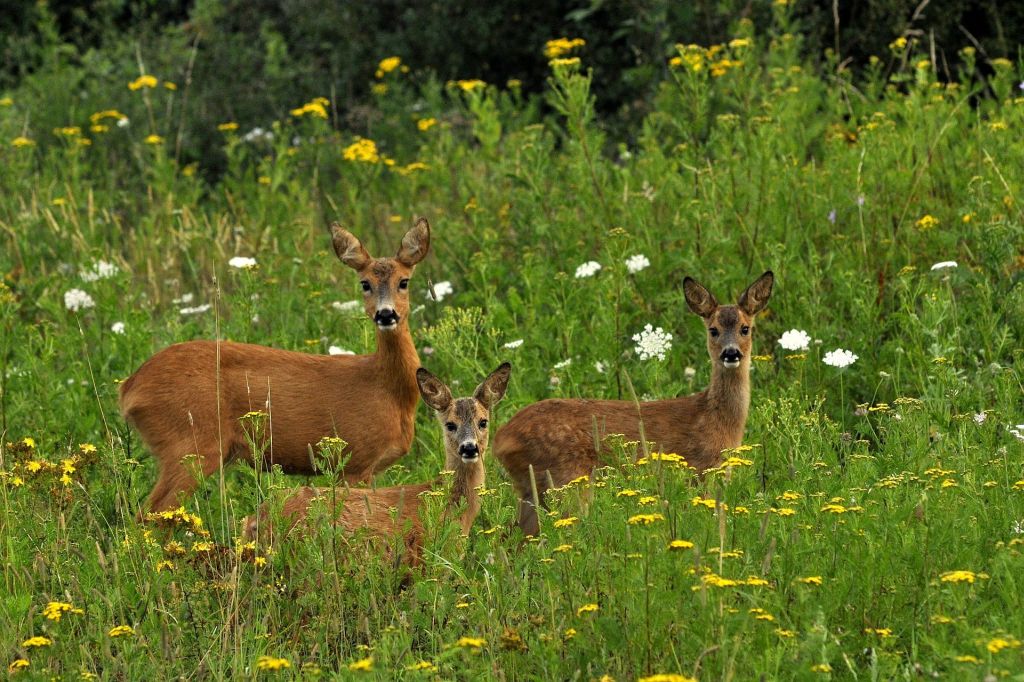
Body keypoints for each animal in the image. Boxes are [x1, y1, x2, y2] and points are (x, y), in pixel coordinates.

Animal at [120, 215, 432, 512]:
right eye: (365, 283)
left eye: (404, 282)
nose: (386, 314)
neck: (388, 389)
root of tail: (129, 388)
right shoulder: (355, 460)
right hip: (190, 443)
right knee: (151, 513)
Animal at [491, 268, 770, 532]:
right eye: (713, 330)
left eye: (745, 328)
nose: (731, 353)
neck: (716, 418)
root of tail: (502, 437)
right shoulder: (703, 471)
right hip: (565, 480)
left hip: (531, 487)